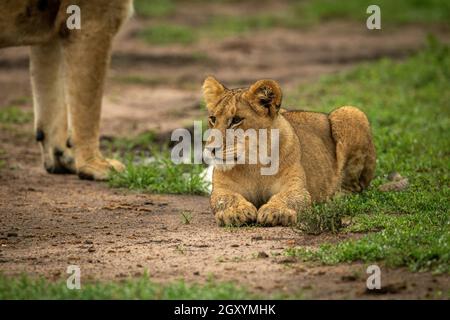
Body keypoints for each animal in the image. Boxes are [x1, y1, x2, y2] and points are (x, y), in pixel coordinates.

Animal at [0, 0, 134, 180]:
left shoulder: (51, 33)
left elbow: (51, 101)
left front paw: (65, 159)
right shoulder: (93, 19)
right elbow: (88, 107)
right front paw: (95, 165)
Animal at [201, 77, 376, 228]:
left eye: (236, 120)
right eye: (213, 119)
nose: (210, 149)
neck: (254, 164)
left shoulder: (297, 189)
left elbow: (287, 198)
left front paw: (275, 211)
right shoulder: (222, 189)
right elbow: (225, 198)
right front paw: (235, 212)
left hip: (350, 112)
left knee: (355, 187)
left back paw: (333, 199)